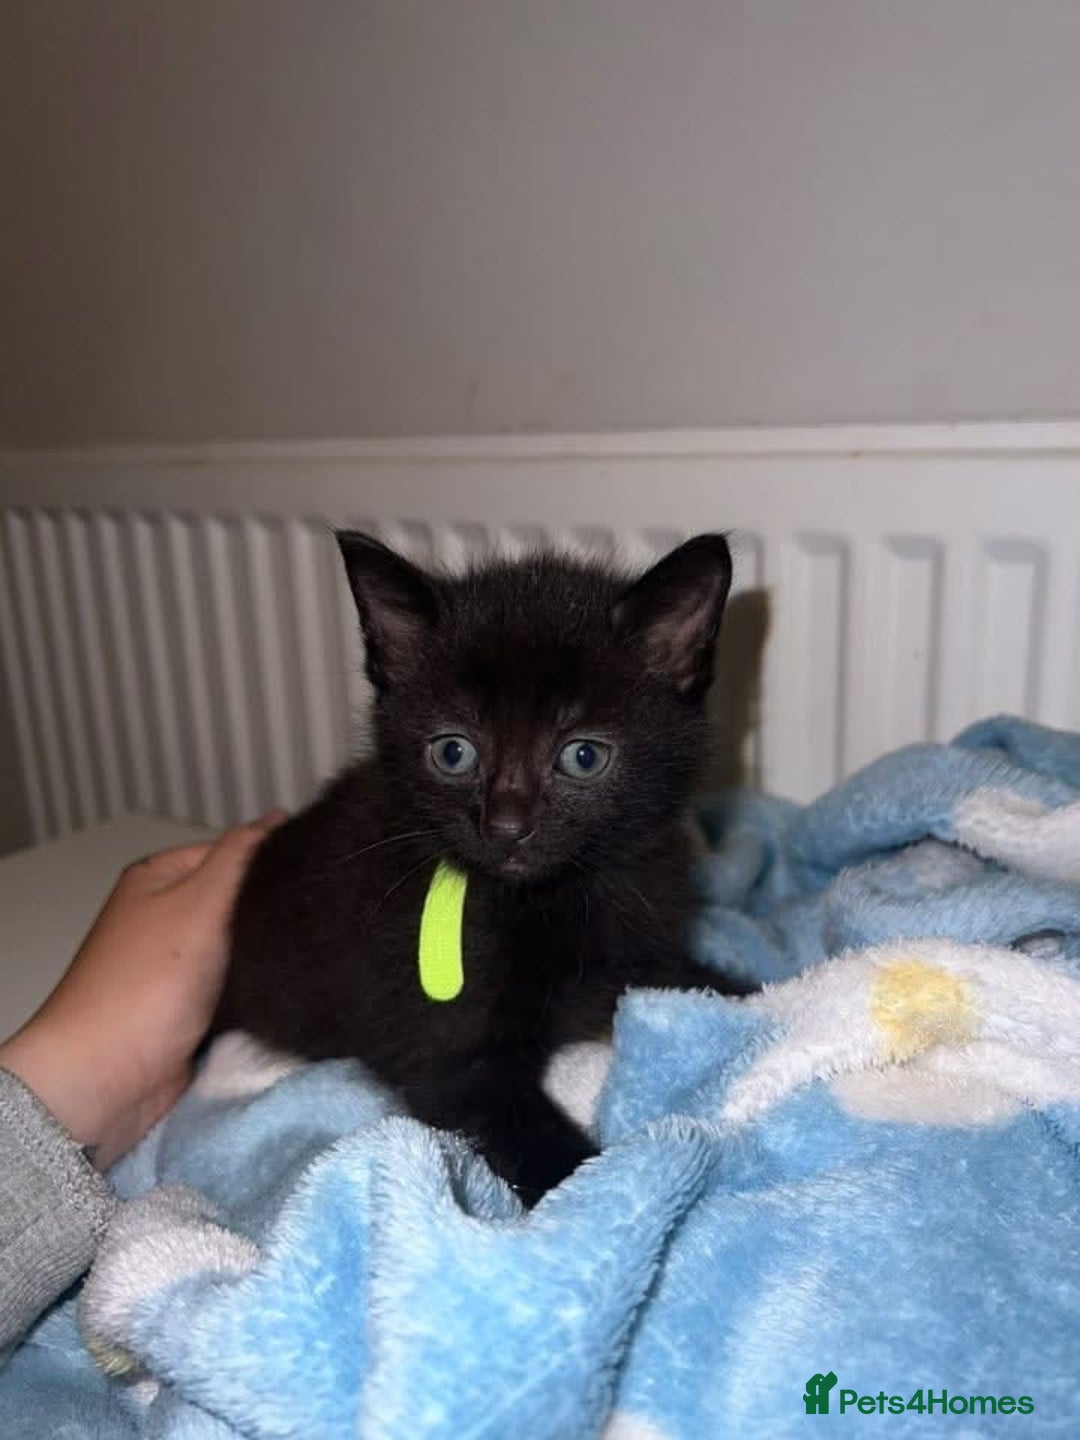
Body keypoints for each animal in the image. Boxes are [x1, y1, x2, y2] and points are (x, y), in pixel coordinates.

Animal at [216, 529, 740, 1202]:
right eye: (453, 752)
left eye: (584, 756)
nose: (506, 828)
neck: (550, 898)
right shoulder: (447, 1051)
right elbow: (540, 1148)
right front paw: (634, 1193)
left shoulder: (645, 939)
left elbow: (715, 983)